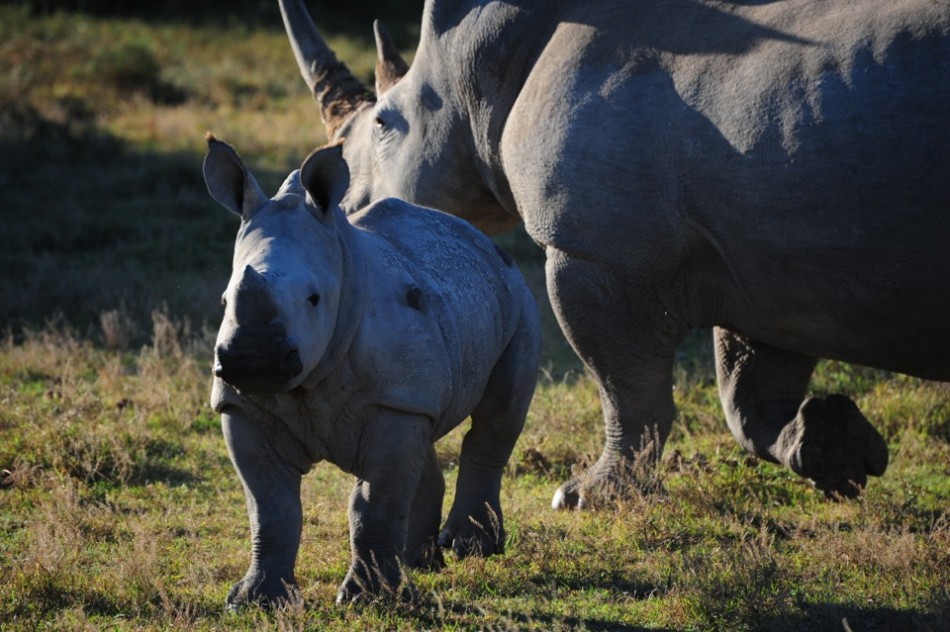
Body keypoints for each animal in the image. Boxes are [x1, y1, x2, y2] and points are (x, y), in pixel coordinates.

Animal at [202, 136, 540, 606]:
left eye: (314, 298)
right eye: (223, 301)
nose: (253, 358)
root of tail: (480, 239)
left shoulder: (393, 401)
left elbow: (372, 504)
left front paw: (370, 598)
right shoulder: (244, 406)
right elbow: (271, 508)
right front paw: (257, 600)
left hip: (518, 298)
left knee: (498, 417)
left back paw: (471, 549)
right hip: (446, 320)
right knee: (427, 436)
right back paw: (420, 561)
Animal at [278, 0, 950, 505]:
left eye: (384, 125)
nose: (349, 210)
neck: (479, 69)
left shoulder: (594, 252)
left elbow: (625, 387)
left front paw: (585, 496)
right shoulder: (767, 258)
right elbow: (747, 397)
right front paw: (838, 453)